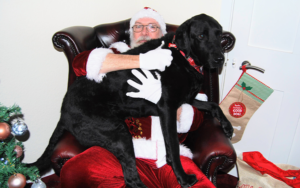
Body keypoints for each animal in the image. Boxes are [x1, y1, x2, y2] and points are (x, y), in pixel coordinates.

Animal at [28, 13, 233, 187]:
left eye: (219, 35)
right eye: (201, 36)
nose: (220, 59)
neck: (183, 57)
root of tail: (63, 111)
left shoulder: (186, 100)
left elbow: (213, 104)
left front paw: (227, 126)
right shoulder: (168, 108)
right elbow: (174, 146)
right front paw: (182, 178)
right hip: (119, 135)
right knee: (131, 178)